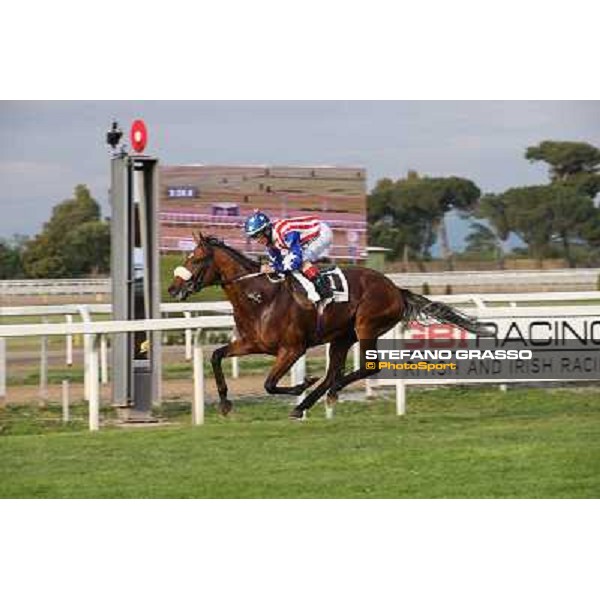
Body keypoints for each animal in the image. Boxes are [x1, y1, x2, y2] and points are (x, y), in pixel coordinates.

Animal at [166, 232, 486, 420]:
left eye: (196, 259)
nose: (172, 288)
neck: (259, 296)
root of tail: (395, 288)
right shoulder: (252, 343)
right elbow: (216, 356)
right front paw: (224, 403)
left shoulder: (292, 348)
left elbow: (270, 384)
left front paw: (301, 383)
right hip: (341, 337)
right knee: (335, 370)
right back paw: (308, 403)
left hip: (366, 326)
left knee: (365, 368)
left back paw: (327, 393)